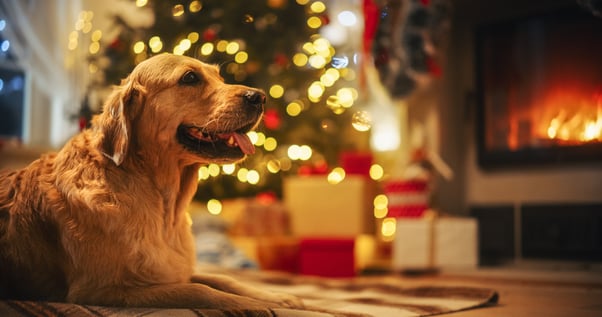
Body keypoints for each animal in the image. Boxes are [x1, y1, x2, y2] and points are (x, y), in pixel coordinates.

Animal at [0, 52, 300, 308]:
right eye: (190, 78)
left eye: (219, 77)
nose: (260, 97)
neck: (164, 207)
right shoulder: (100, 290)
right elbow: (201, 291)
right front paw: (255, 306)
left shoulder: (174, 270)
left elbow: (224, 279)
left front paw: (279, 298)